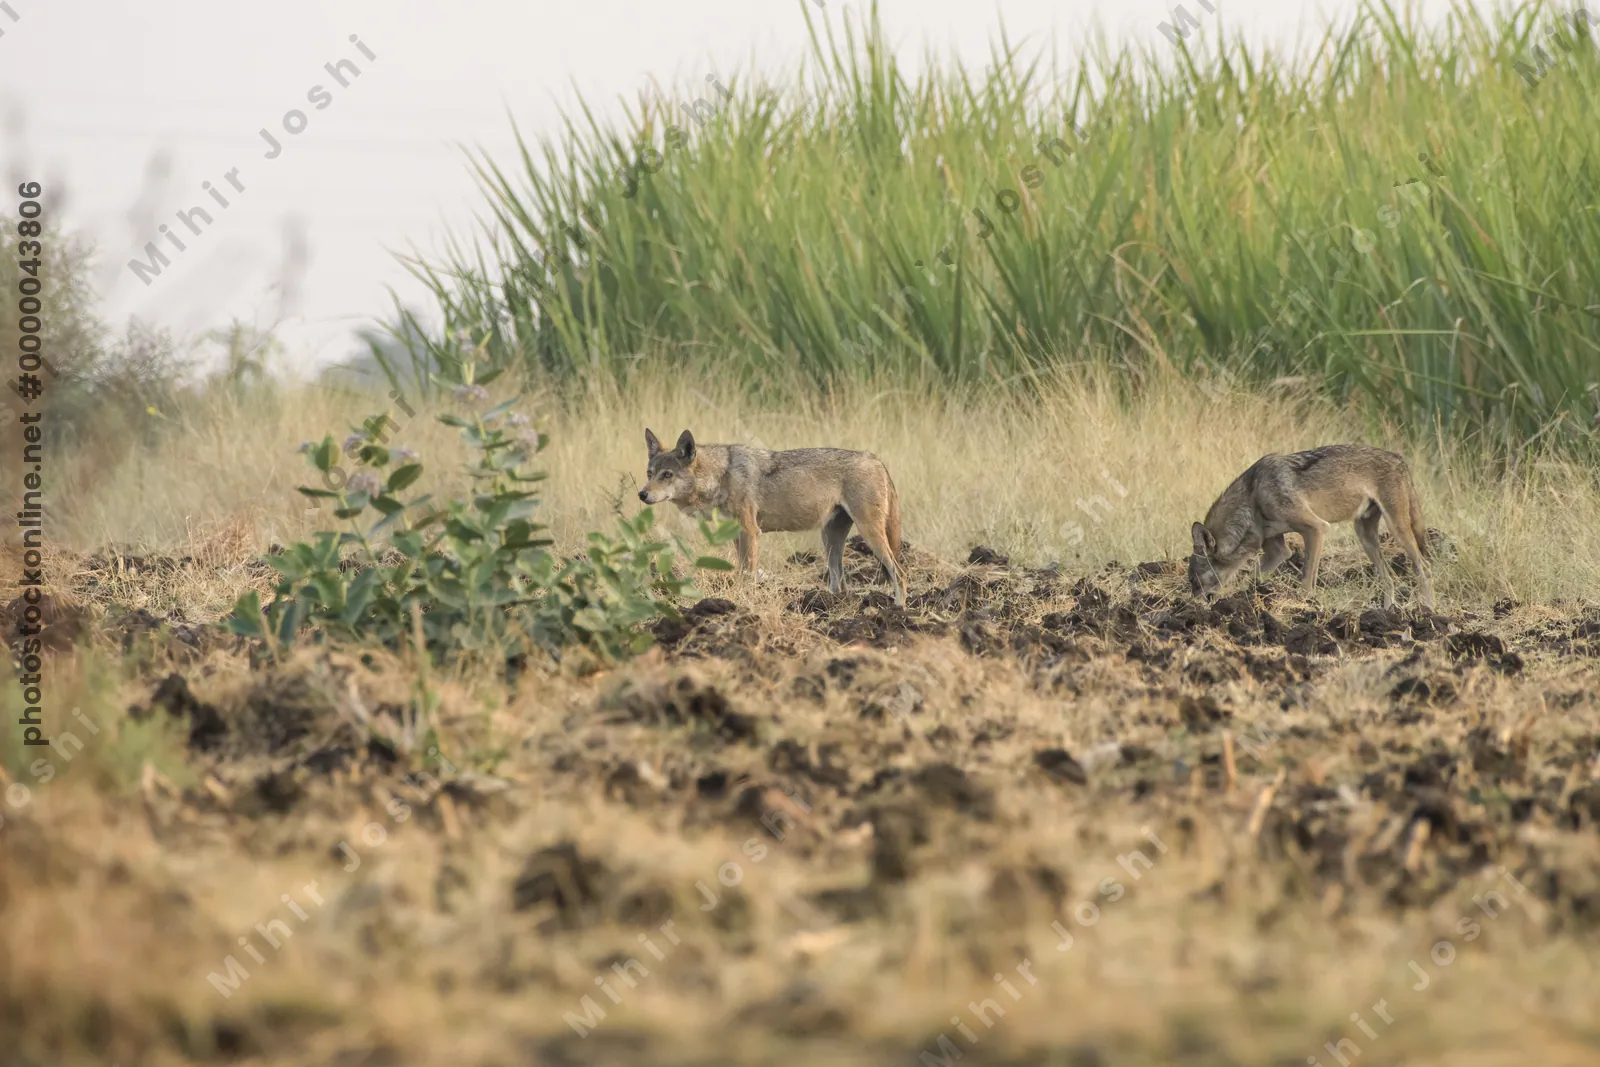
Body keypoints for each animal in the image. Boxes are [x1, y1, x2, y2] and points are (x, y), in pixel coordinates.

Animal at [639, 429, 907, 605]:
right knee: (839, 581)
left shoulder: (750, 533)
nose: (642, 494)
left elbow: (747, 575)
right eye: (649, 473)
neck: (722, 475)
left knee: (899, 573)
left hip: (869, 534)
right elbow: (742, 571)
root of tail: (875, 459)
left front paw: (744, 603)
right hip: (831, 539)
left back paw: (898, 610)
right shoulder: (737, 535)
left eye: (667, 475)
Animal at [1188, 444, 1435, 610]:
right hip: (1365, 536)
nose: (1193, 605)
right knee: (1389, 577)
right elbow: (1252, 578)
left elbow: (1306, 581)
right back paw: (1387, 612)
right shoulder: (1278, 551)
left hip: (1397, 530)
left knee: (1424, 566)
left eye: (1194, 581)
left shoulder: (1316, 529)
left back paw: (1428, 609)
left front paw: (1304, 609)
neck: (1253, 495)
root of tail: (1399, 458)